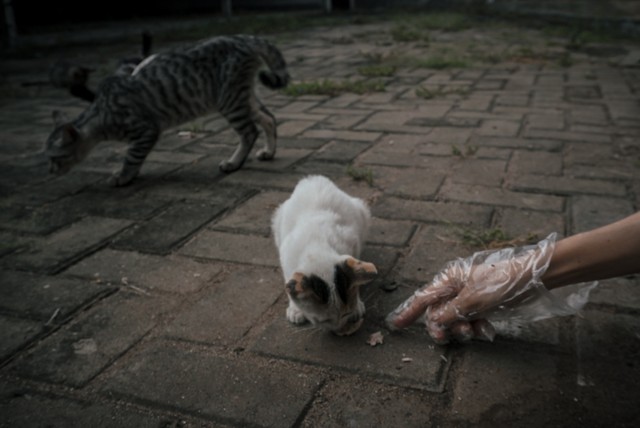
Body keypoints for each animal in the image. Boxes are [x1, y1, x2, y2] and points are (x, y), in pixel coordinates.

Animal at [46, 34, 292, 186]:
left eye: (55, 158)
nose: (49, 171)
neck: (101, 114)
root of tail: (243, 38)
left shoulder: (146, 130)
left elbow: (132, 157)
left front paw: (123, 176)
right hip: (242, 97)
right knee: (269, 118)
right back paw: (269, 151)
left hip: (230, 101)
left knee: (250, 131)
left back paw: (234, 162)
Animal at [272, 174, 380, 334]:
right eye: (324, 320)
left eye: (345, 314)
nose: (338, 329)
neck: (316, 247)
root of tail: (312, 178)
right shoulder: (285, 254)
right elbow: (288, 280)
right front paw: (295, 309)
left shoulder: (353, 242)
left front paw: (356, 305)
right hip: (278, 220)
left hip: (361, 211)